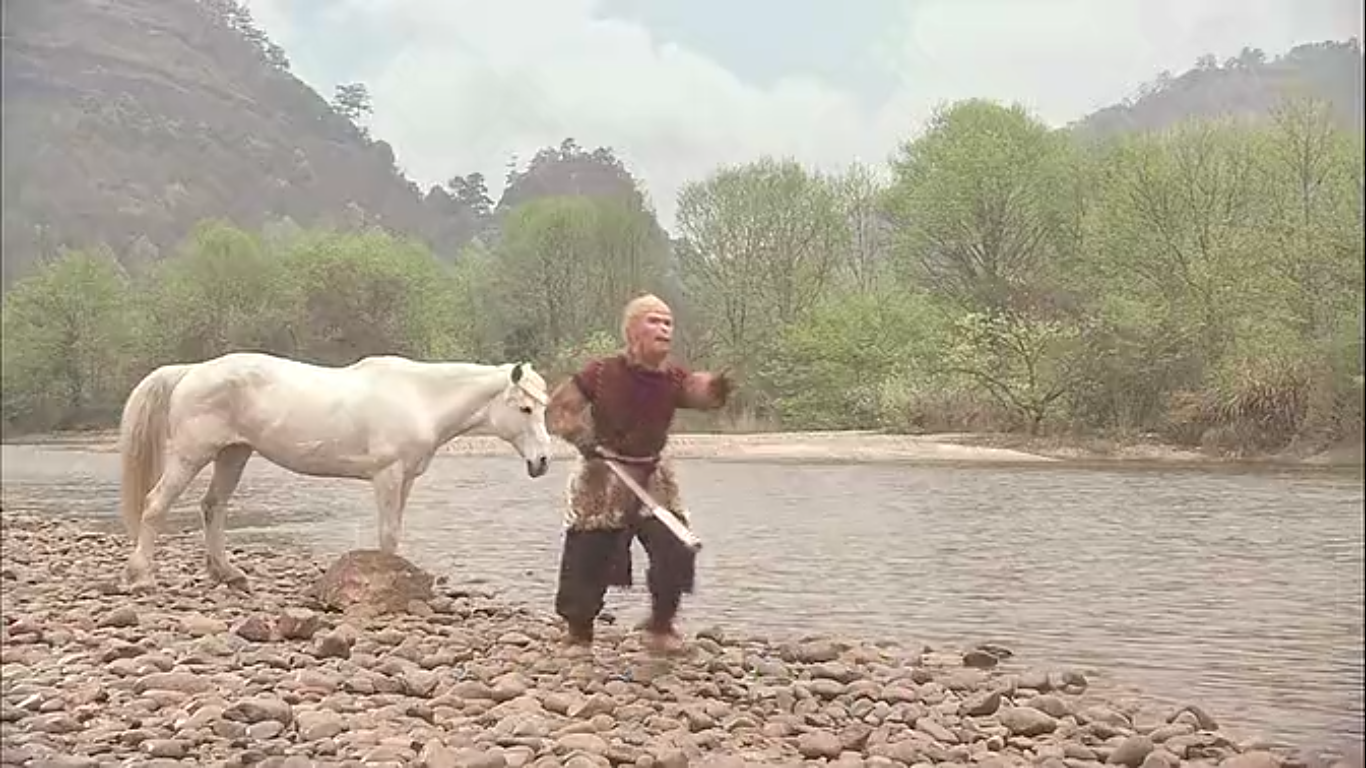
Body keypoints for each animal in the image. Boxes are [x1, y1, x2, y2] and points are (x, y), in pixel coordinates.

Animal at [117, 349, 551, 587]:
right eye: (525, 408)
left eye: (543, 406)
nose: (543, 461)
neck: (420, 397)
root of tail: (192, 369)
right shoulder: (387, 475)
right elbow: (388, 535)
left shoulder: (406, 479)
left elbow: (394, 533)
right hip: (191, 454)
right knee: (155, 505)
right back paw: (142, 576)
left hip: (233, 454)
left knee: (213, 507)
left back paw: (228, 573)